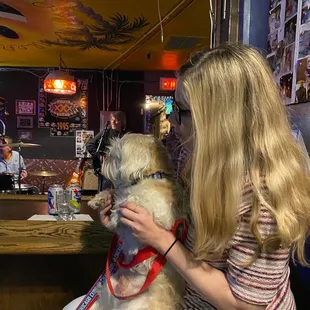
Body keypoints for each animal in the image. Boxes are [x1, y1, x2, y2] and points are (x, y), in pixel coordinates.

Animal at [87, 134, 185, 310]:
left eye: (115, 155)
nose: (103, 157)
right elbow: (114, 193)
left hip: (139, 305)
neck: (147, 177)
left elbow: (132, 200)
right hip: (107, 289)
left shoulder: (160, 211)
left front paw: (118, 210)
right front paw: (100, 199)